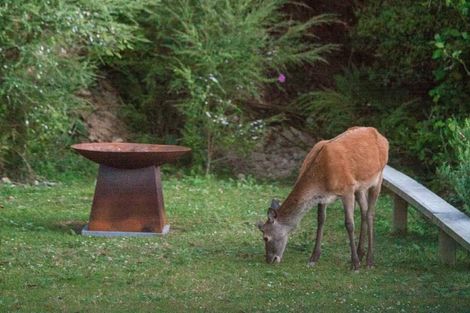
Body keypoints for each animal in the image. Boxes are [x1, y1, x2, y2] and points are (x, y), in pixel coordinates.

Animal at [258, 127, 390, 268]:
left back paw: (369, 261)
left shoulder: (347, 189)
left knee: (370, 213)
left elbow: (349, 224)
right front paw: (313, 258)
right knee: (364, 211)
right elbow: (320, 220)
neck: (322, 178)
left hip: (378, 177)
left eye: (265, 237)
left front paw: (355, 264)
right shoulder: (323, 196)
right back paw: (361, 253)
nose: (270, 259)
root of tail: (382, 137)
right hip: (360, 187)